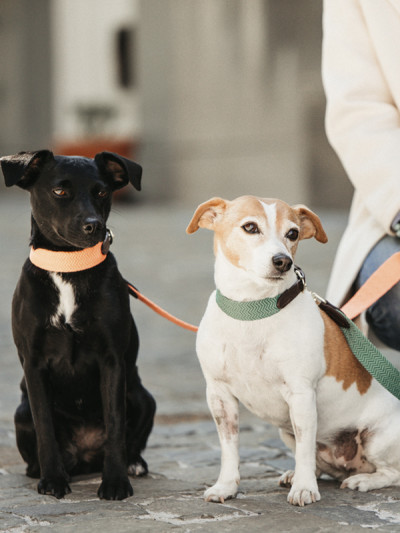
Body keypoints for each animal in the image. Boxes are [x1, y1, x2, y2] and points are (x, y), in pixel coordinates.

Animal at [0, 150, 155, 498]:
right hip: (21, 411)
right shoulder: (34, 364)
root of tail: (85, 457)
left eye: (101, 192)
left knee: (130, 440)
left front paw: (115, 482)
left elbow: (115, 424)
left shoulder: (112, 360)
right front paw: (53, 480)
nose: (93, 226)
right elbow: (45, 428)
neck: (68, 267)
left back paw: (134, 464)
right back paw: (41, 469)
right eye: (59, 191)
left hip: (143, 398)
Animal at [186, 196, 400, 508]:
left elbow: (304, 446)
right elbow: (230, 448)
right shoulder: (219, 395)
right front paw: (226, 486)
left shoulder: (301, 395)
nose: (283, 261)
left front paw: (304, 488)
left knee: (391, 472)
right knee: (318, 461)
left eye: (293, 233)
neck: (253, 309)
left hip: (377, 438)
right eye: (250, 227)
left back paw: (363, 480)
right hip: (285, 431)